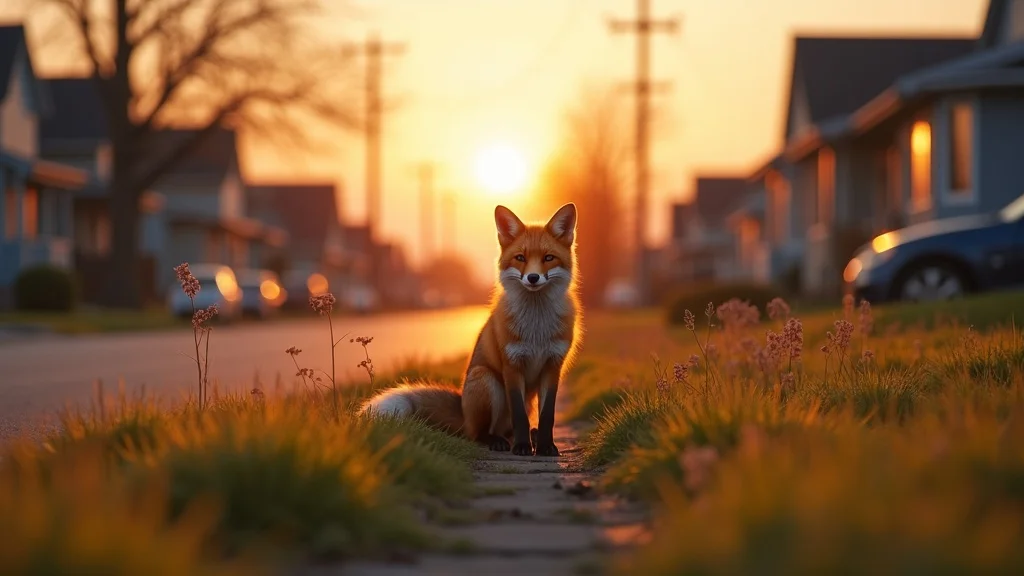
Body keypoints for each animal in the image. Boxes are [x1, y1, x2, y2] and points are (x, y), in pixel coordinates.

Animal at [359, 202, 582, 457]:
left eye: (548, 258)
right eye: (520, 258)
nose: (533, 277)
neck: (537, 329)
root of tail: (464, 413)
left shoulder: (553, 366)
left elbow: (547, 416)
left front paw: (545, 446)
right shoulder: (512, 365)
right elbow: (519, 417)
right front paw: (523, 447)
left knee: (513, 428)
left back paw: (529, 437)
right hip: (485, 378)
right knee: (480, 434)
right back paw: (498, 440)